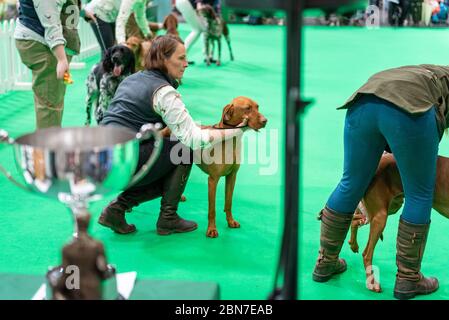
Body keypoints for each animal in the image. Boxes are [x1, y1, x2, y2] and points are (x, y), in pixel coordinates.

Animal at [348, 152, 449, 292]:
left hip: (389, 208)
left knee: (355, 219)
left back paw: (353, 244)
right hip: (380, 216)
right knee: (367, 253)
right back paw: (373, 283)